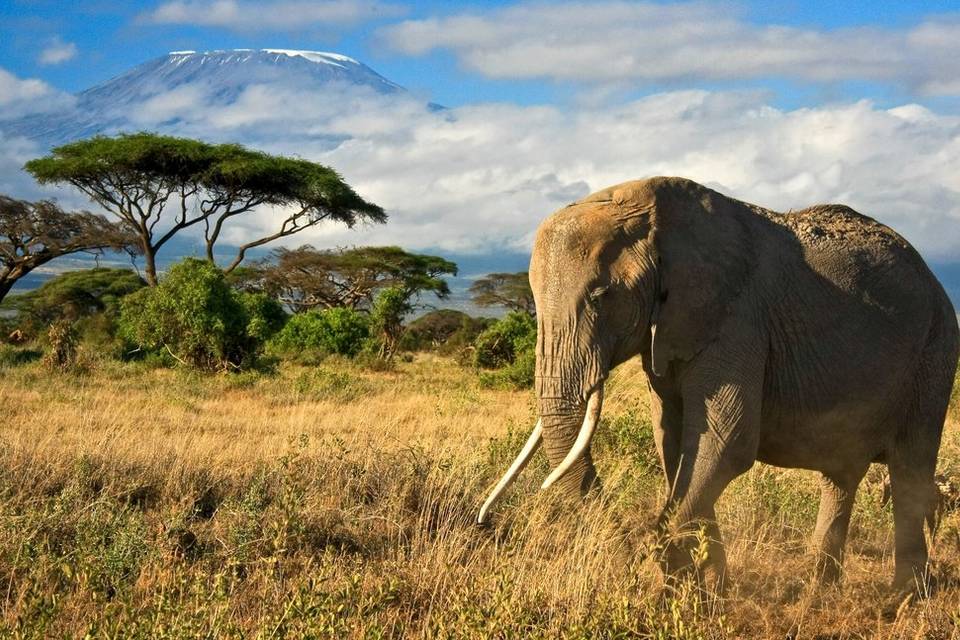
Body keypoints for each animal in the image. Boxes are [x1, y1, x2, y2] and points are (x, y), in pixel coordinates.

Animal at [480, 176, 960, 592]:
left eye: (601, 296)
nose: (487, 522)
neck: (651, 211)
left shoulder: (737, 319)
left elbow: (725, 442)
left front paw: (670, 589)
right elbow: (675, 445)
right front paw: (710, 590)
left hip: (936, 351)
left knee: (910, 468)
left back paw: (901, 597)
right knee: (842, 474)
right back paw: (819, 590)